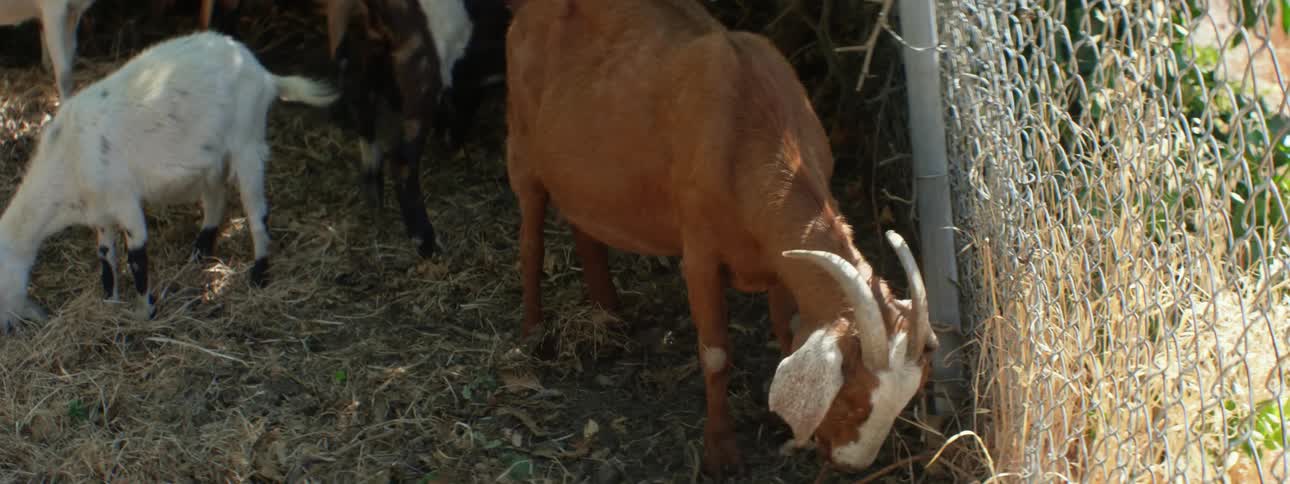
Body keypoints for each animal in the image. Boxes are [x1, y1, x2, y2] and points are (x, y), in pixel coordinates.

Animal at [0, 31, 338, 333]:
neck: (68, 156)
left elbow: (137, 258)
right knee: (216, 198)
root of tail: (263, 74)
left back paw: (258, 275)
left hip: (248, 141)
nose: (7, 331)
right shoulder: (100, 213)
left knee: (257, 213)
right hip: (211, 158)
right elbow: (106, 258)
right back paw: (199, 253)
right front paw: (109, 304)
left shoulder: (125, 200)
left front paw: (144, 314)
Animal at [322, 0, 510, 257]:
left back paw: (375, 203)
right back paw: (427, 244)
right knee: (402, 159)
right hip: (421, 63)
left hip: (367, 51)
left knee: (361, 105)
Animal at [505, 0, 938, 476]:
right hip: (521, 147)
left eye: (904, 402)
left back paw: (609, 314)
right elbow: (715, 355)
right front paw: (721, 453)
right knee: (530, 240)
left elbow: (785, 330)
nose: (850, 465)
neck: (749, 131)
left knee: (584, 223)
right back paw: (534, 333)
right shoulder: (699, 252)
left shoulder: (777, 260)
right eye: (853, 401)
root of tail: (529, 12)